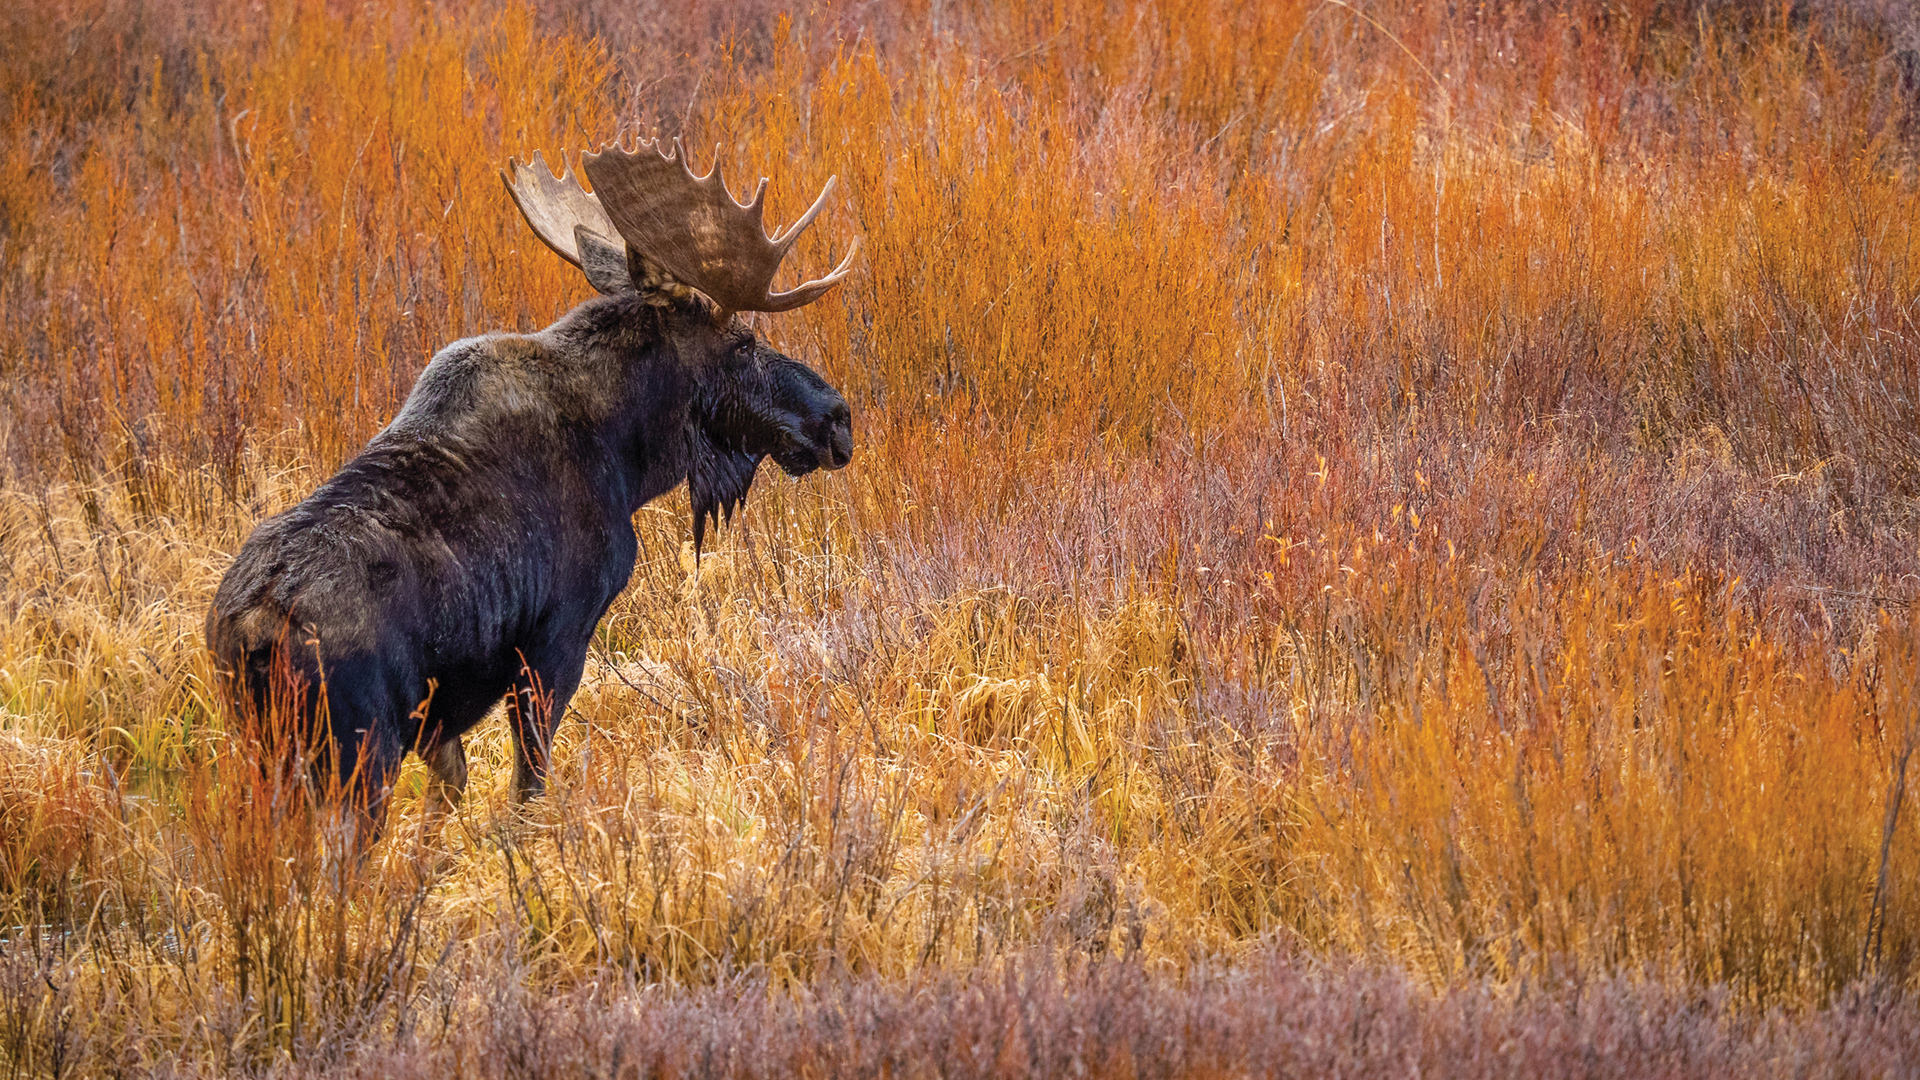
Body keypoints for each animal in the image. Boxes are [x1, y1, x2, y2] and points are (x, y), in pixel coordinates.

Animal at [206, 138, 858, 843]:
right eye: (741, 343)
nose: (836, 418)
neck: (630, 457)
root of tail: (250, 633)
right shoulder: (558, 636)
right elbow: (528, 787)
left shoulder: (442, 714)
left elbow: (453, 789)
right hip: (354, 756)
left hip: (269, 751)